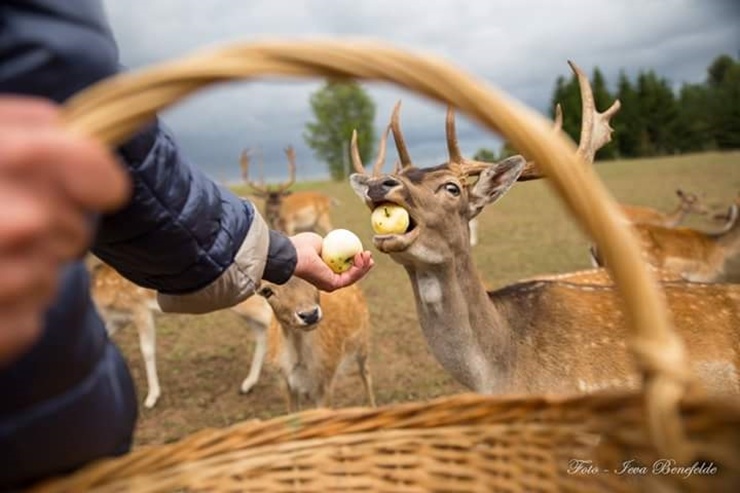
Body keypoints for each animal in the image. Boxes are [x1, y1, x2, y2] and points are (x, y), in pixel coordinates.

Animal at [89, 256, 274, 406]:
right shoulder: (118, 320)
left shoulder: (140, 309)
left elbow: (147, 351)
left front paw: (152, 397)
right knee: (261, 333)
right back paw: (248, 384)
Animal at [258, 276, 376, 412]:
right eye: (266, 291)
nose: (310, 315)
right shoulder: (285, 381)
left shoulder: (326, 379)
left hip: (364, 341)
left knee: (365, 372)